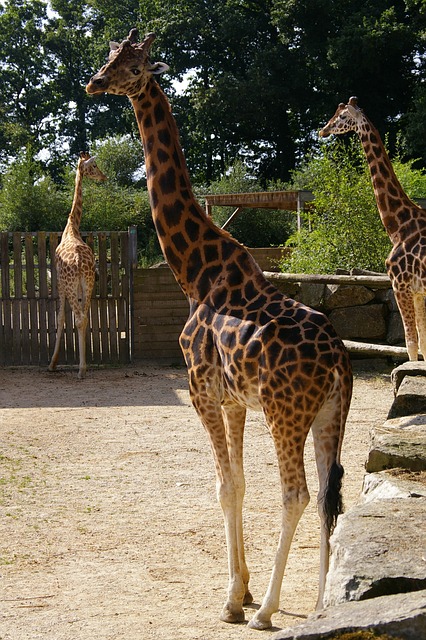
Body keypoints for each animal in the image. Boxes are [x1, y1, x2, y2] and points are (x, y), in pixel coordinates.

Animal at [48, 152, 106, 378]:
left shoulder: (60, 284)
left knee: (79, 318)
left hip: (72, 285)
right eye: (94, 166)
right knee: (85, 318)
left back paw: (81, 370)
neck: (72, 227)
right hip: (88, 283)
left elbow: (60, 318)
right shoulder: (81, 286)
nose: (104, 177)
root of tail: (80, 262)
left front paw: (53, 363)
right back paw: (84, 366)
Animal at [86, 30, 352, 632]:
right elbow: (238, 484)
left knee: (297, 494)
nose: (95, 82)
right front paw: (242, 587)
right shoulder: (234, 401)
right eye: (110, 56)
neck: (195, 272)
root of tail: (337, 361)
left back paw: (270, 612)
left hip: (286, 412)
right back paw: (321, 604)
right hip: (330, 414)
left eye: (134, 65)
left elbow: (224, 485)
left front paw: (236, 601)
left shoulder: (201, 390)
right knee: (329, 493)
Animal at [320, 98, 426, 362]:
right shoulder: (417, 291)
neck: (398, 226)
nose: (322, 130)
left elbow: (411, 344)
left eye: (341, 117)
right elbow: (423, 343)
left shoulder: (400, 285)